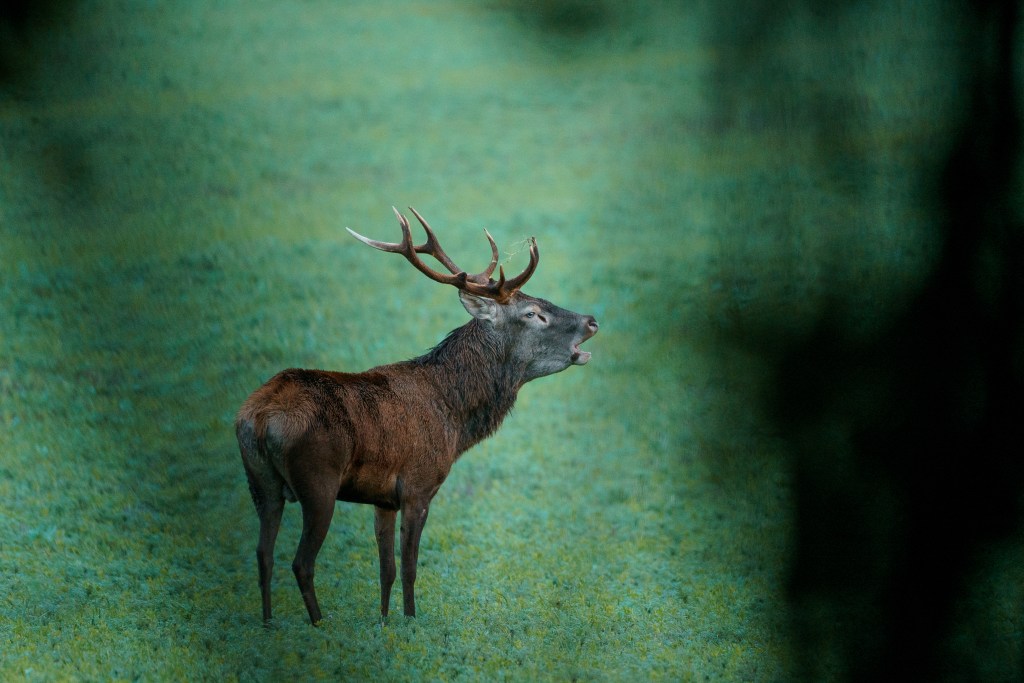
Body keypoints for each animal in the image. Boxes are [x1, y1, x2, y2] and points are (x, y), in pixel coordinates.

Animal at [236, 207, 599, 625]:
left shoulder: (381, 499)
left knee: (262, 555)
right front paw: (411, 622)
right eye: (533, 313)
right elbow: (409, 567)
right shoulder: (418, 485)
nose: (591, 321)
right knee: (300, 562)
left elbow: (386, 570)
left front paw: (384, 623)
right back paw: (319, 625)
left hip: (259, 481)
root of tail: (258, 418)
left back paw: (268, 624)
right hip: (317, 481)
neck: (454, 418)